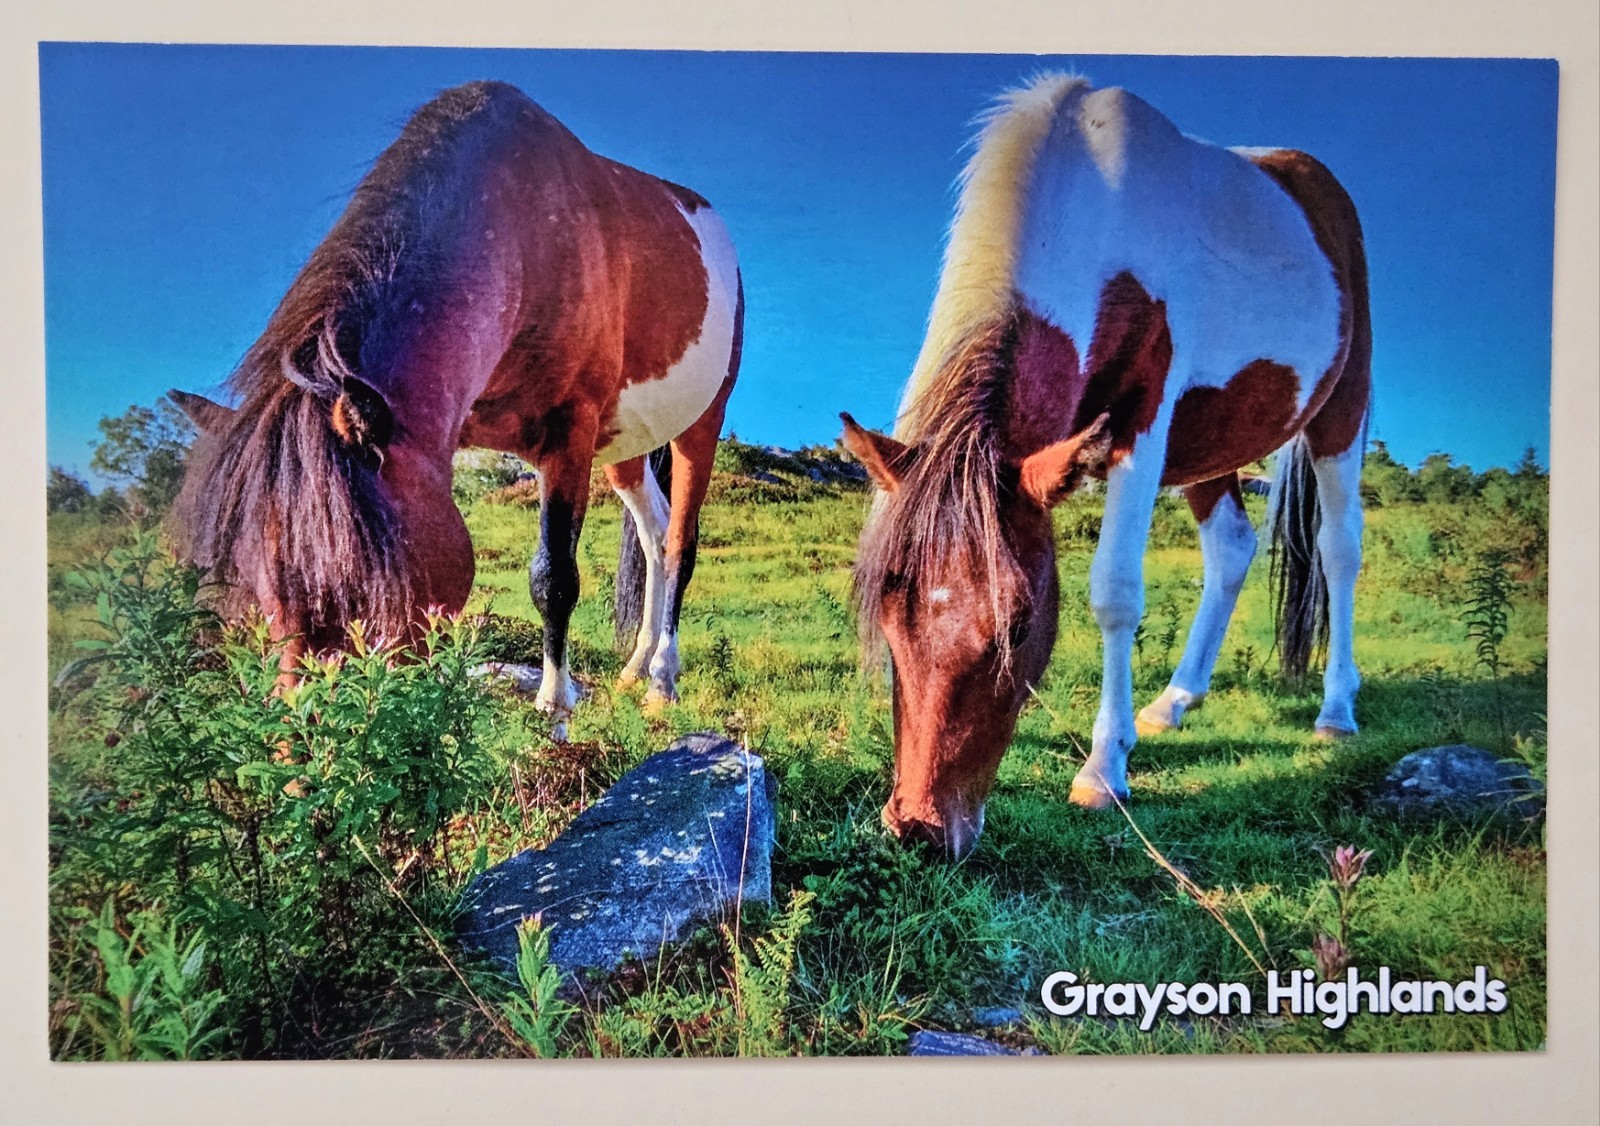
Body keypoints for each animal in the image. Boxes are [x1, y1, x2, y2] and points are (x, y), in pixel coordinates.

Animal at [171, 81, 744, 730]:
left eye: (354, 577)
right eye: (246, 579)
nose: (307, 737)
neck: (522, 239)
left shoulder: (568, 435)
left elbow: (554, 576)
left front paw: (554, 706)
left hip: (701, 423)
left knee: (677, 545)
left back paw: (662, 680)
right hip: (622, 446)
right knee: (651, 534)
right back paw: (636, 666)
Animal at [840, 75, 1370, 858]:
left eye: (1020, 626)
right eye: (886, 607)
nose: (920, 828)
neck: (1095, 211)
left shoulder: (1140, 427)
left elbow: (1115, 593)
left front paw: (1102, 769)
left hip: (1339, 412)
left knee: (1338, 550)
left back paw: (1335, 712)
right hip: (1202, 446)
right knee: (1232, 548)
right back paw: (1175, 700)